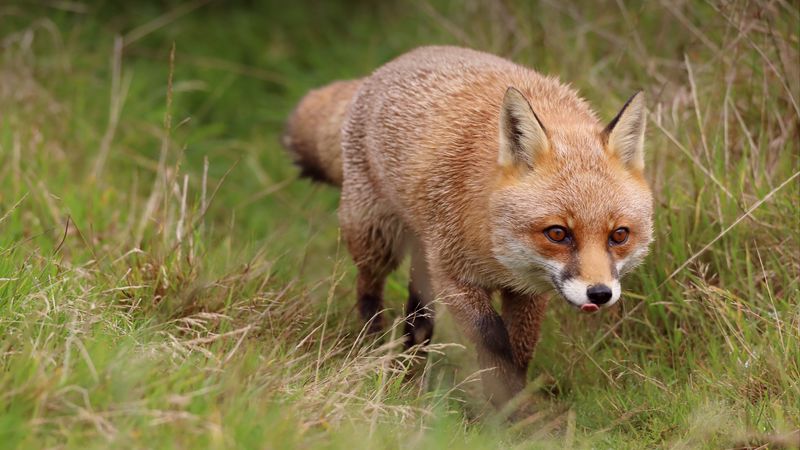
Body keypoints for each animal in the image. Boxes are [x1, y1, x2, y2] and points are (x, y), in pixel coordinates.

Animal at [282, 46, 653, 406]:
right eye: (558, 233)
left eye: (619, 235)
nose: (600, 293)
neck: (495, 244)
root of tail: (397, 61)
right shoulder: (453, 275)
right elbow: (495, 343)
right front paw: (506, 409)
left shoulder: (529, 289)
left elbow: (521, 349)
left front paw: (515, 409)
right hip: (376, 239)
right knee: (368, 291)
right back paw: (375, 349)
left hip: (422, 257)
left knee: (417, 319)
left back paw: (410, 374)